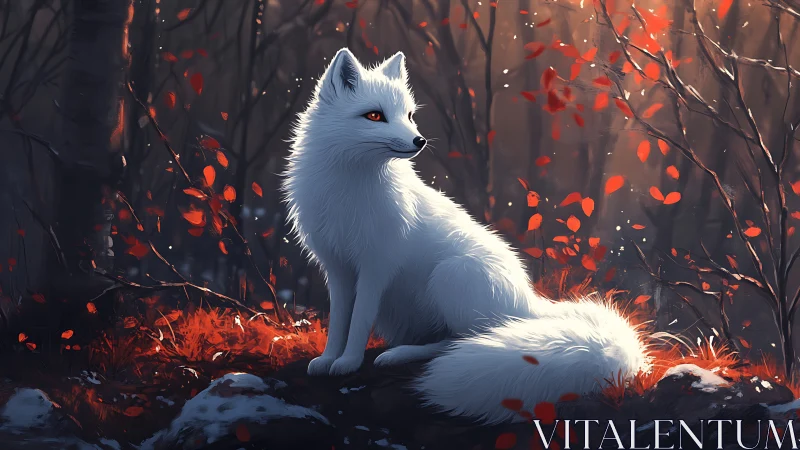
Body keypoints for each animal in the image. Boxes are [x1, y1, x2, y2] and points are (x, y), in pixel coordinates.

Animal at [281, 48, 649, 424]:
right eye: (375, 115)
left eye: (409, 115)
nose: (419, 140)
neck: (348, 186)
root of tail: (527, 304)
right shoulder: (337, 267)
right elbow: (340, 319)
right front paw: (329, 359)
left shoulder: (376, 266)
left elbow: (359, 321)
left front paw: (349, 362)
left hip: (451, 276)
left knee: (461, 340)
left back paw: (401, 354)